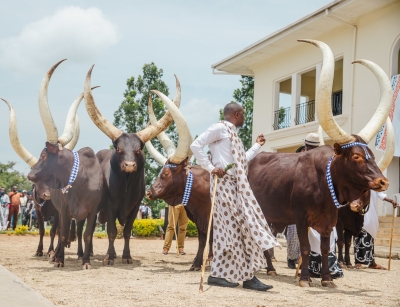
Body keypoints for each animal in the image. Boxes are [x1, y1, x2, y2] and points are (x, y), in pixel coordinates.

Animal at [84, 67, 181, 264]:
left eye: (138, 149)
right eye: (119, 148)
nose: (129, 165)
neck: (126, 187)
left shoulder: (136, 206)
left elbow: (127, 232)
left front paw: (126, 256)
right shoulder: (109, 205)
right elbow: (112, 231)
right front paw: (109, 257)